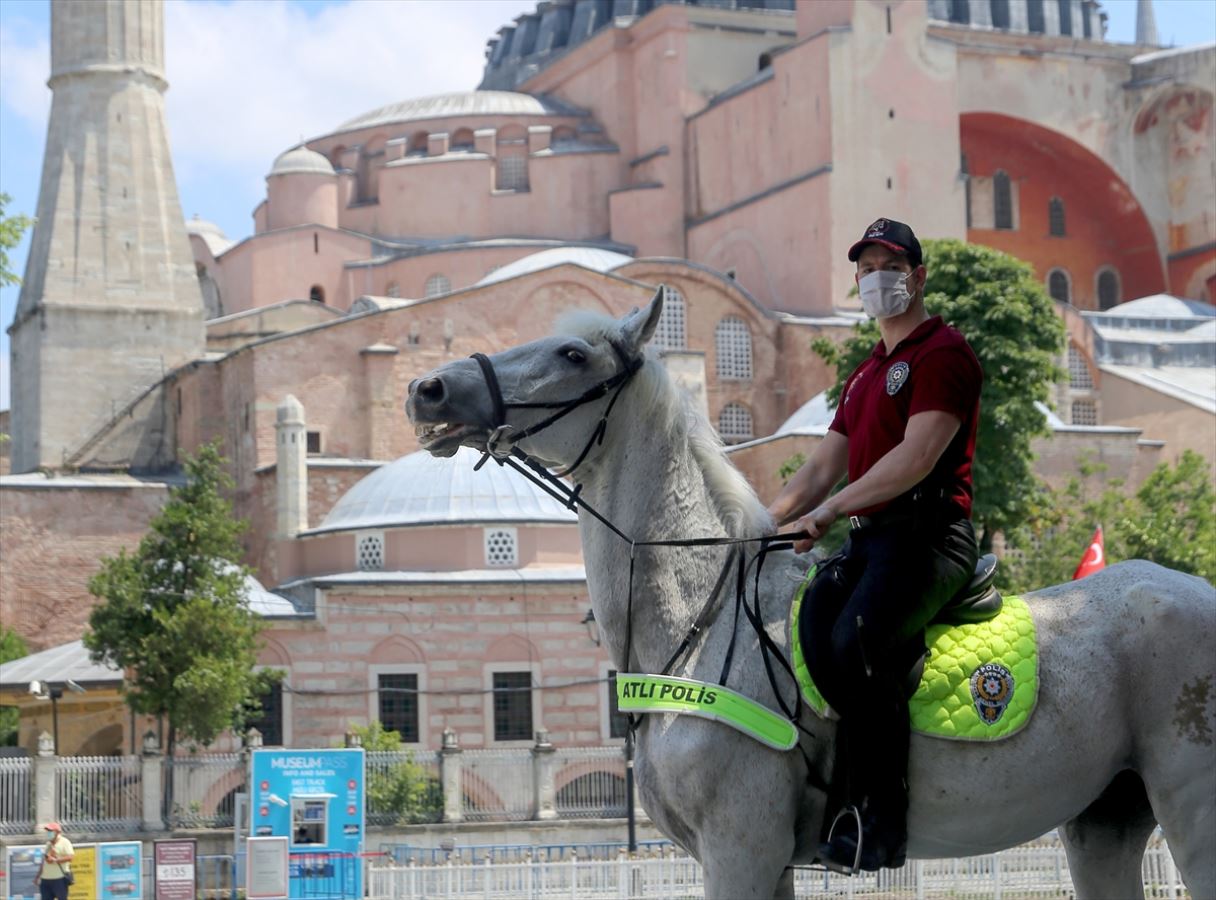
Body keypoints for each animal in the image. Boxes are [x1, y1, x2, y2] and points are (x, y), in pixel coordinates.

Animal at [408, 293, 1216, 900]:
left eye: (573, 355)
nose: (428, 389)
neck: (704, 623)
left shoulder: (740, 850)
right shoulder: (761, 861)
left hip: (1190, 808)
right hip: (1104, 821)